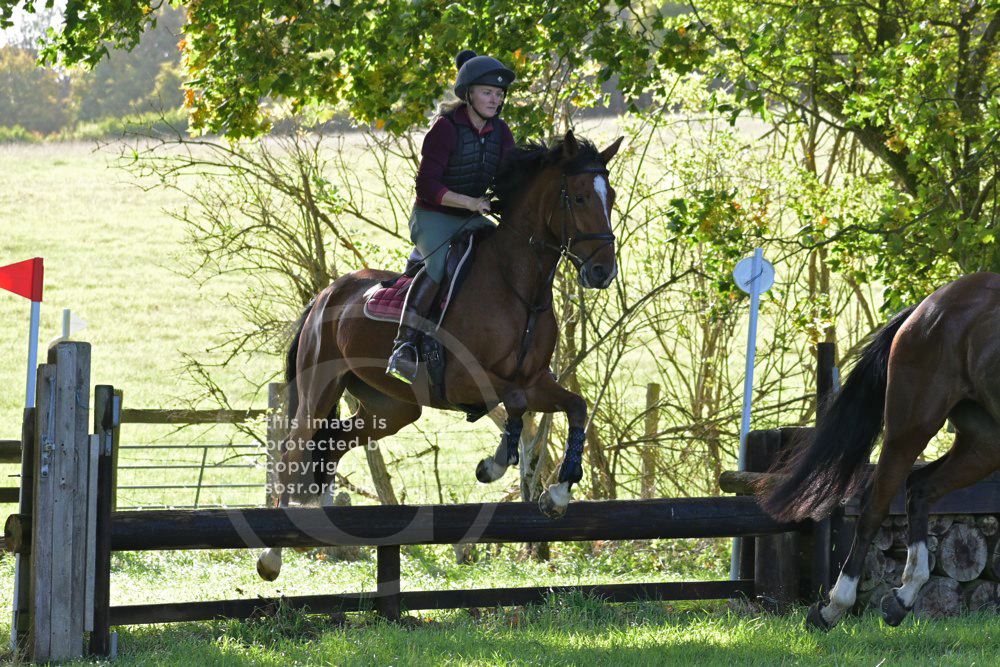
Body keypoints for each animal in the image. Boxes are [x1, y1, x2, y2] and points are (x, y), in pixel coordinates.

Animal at [257, 131, 624, 581]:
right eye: (578, 197)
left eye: (611, 198)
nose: (602, 272)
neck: (519, 286)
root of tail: (324, 295)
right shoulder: (462, 379)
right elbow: (515, 402)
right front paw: (495, 465)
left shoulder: (536, 381)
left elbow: (573, 405)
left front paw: (556, 491)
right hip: (319, 388)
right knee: (294, 447)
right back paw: (271, 554)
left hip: (392, 408)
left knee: (334, 442)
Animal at [760, 272, 1000, 629]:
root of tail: (930, 304)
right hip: (909, 426)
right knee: (875, 506)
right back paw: (833, 607)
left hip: (986, 443)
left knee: (921, 488)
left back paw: (903, 597)